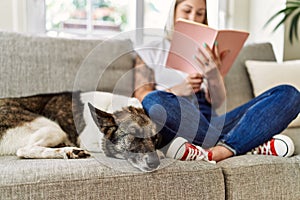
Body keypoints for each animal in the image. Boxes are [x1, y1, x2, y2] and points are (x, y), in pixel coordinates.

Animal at [0, 91, 162, 171]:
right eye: (134, 135)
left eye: (155, 139)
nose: (155, 163)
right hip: (53, 128)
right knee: (24, 150)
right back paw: (69, 151)